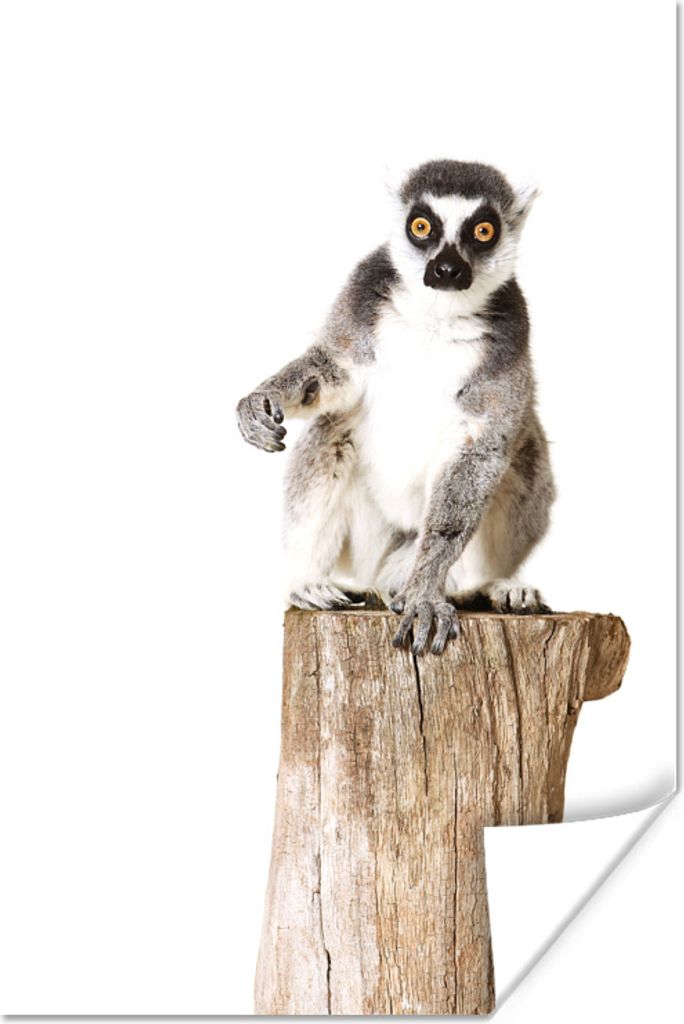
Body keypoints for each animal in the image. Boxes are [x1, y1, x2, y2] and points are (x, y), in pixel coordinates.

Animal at [236, 159, 555, 655]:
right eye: (421, 227)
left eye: (483, 231)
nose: (446, 269)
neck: (437, 314)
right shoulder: (360, 303)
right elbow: (333, 373)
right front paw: (261, 400)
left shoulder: (509, 345)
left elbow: (482, 450)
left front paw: (424, 596)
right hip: (368, 541)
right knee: (331, 432)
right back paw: (307, 581)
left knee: (522, 453)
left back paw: (495, 585)